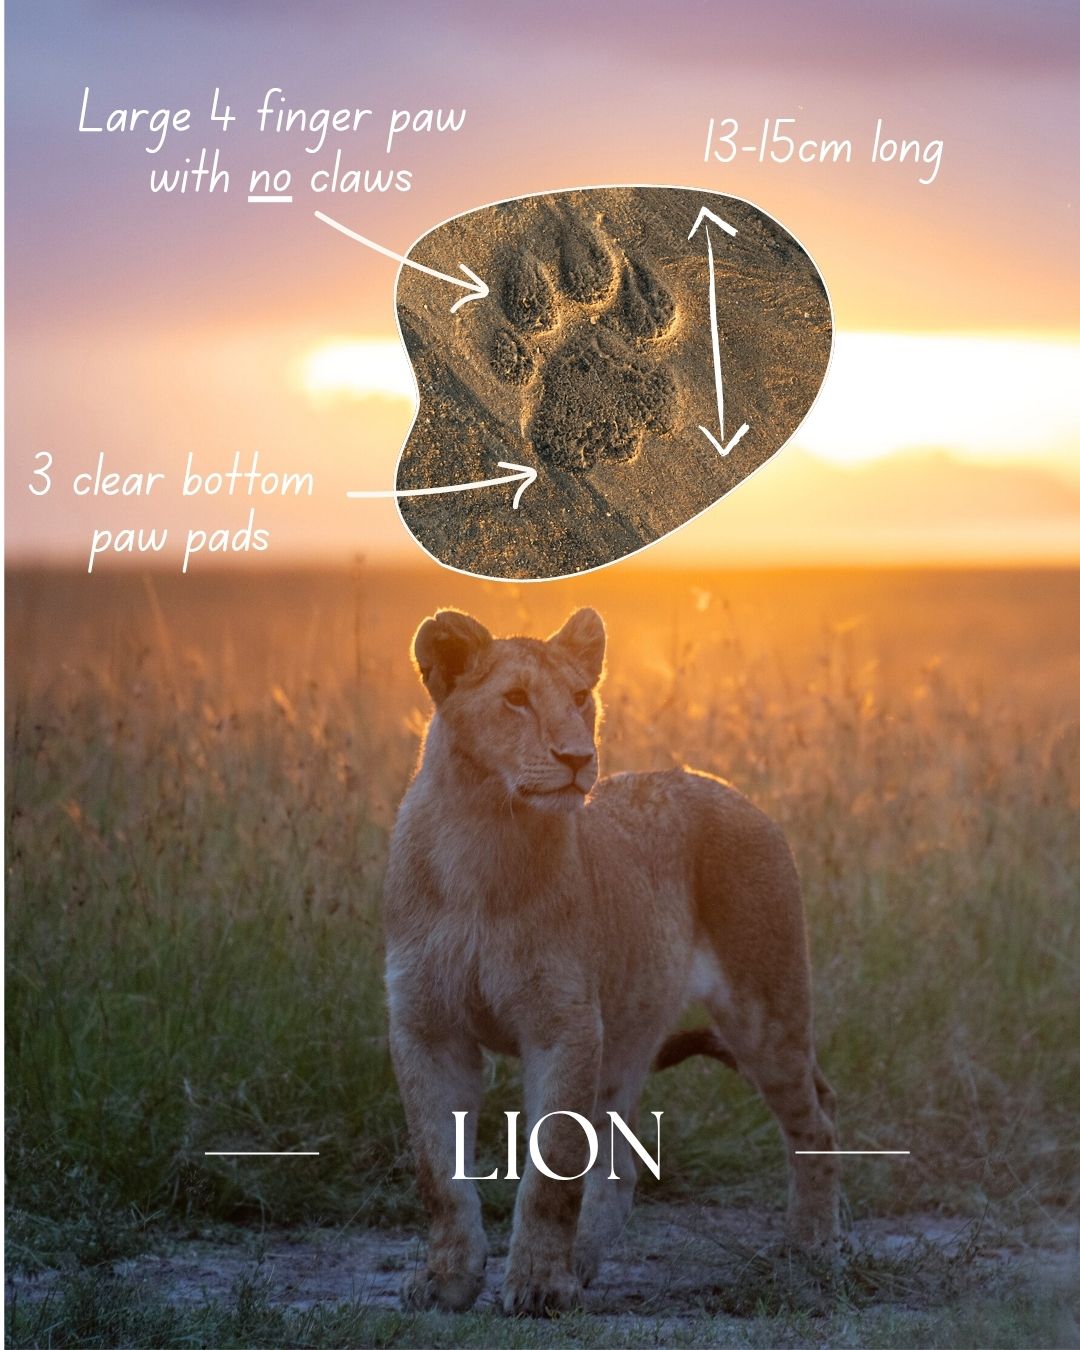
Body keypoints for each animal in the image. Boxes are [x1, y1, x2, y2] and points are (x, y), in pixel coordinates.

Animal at [383, 608, 840, 1316]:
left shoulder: (563, 1024)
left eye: (579, 697)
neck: (482, 837)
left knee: (814, 1121)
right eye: (515, 699)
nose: (577, 757)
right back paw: (585, 1263)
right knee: (620, 1166)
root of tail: (726, 788)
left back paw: (811, 1247)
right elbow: (439, 1171)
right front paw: (445, 1281)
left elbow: (553, 1165)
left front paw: (539, 1286)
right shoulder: (427, 1026)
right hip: (626, 1030)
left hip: (765, 1007)